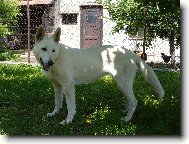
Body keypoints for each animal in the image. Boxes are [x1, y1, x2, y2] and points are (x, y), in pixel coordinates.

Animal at [32, 25, 164, 126]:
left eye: (53, 50)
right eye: (44, 49)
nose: (50, 62)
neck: (58, 57)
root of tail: (131, 53)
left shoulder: (68, 86)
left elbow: (70, 106)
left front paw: (68, 121)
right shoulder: (57, 86)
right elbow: (58, 103)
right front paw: (55, 113)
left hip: (122, 83)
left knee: (134, 101)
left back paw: (127, 119)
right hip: (122, 85)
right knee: (130, 101)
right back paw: (126, 112)